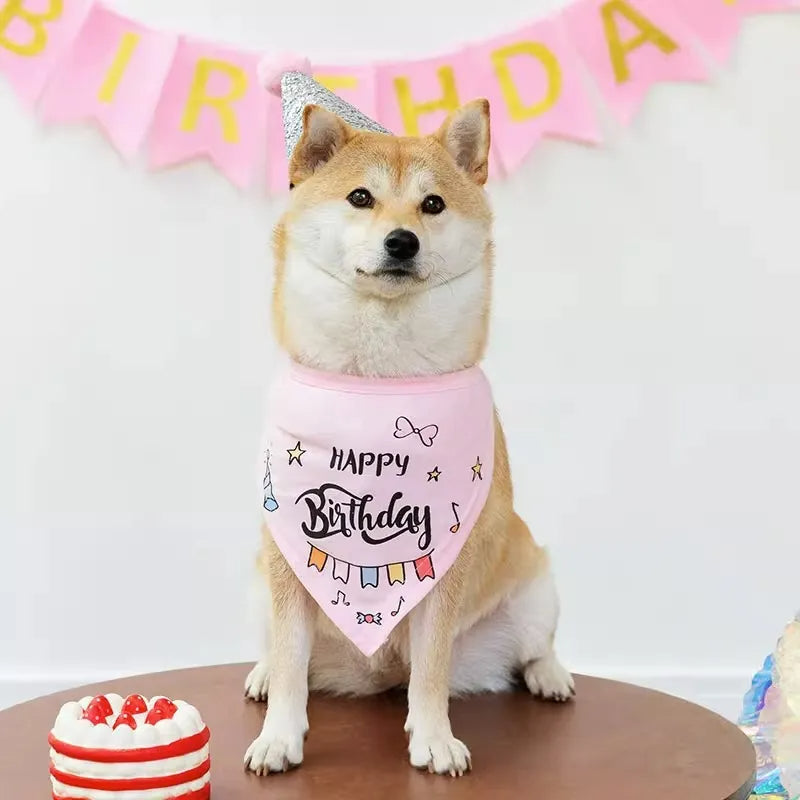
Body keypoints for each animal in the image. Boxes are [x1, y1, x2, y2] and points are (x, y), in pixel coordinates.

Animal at [244, 97, 576, 780]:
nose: (402, 240)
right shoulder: (287, 558)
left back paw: (550, 674)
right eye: (360, 197)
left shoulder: (445, 567)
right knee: (279, 651)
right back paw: (260, 672)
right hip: (259, 584)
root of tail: (377, 672)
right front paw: (279, 737)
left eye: (432, 204)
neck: (380, 385)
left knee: (533, 647)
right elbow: (291, 665)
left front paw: (434, 738)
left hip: (536, 590)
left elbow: (430, 673)